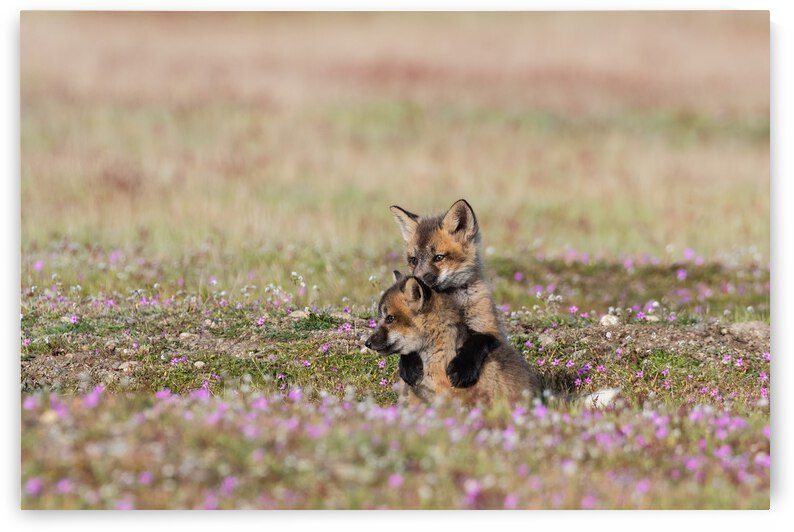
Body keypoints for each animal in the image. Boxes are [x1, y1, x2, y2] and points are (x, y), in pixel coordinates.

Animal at [389, 199, 505, 389]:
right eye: (413, 260)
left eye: (438, 258)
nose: (416, 282)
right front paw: (409, 364)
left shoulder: (493, 331)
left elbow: (477, 342)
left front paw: (462, 368)